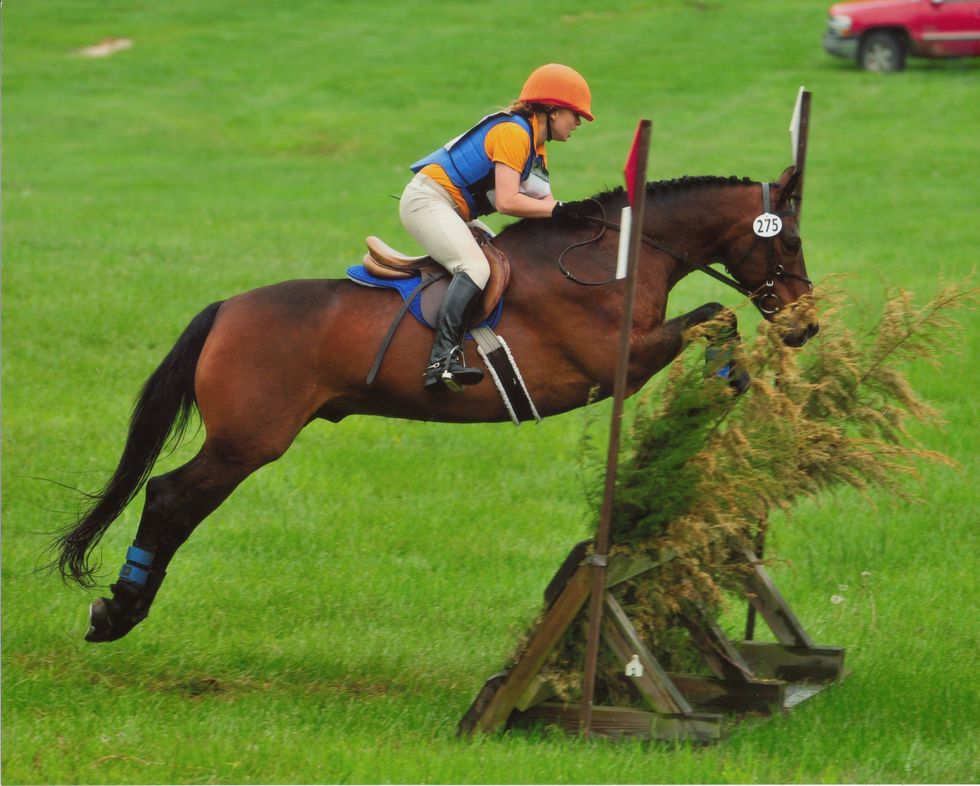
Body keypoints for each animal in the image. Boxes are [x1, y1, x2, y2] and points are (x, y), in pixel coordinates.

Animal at [51, 165, 818, 643]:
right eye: (790, 239)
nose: (805, 324)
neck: (613, 260)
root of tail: (226, 310)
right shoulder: (618, 363)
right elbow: (717, 313)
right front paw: (728, 376)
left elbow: (718, 318)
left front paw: (732, 382)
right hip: (247, 441)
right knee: (169, 498)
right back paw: (118, 611)